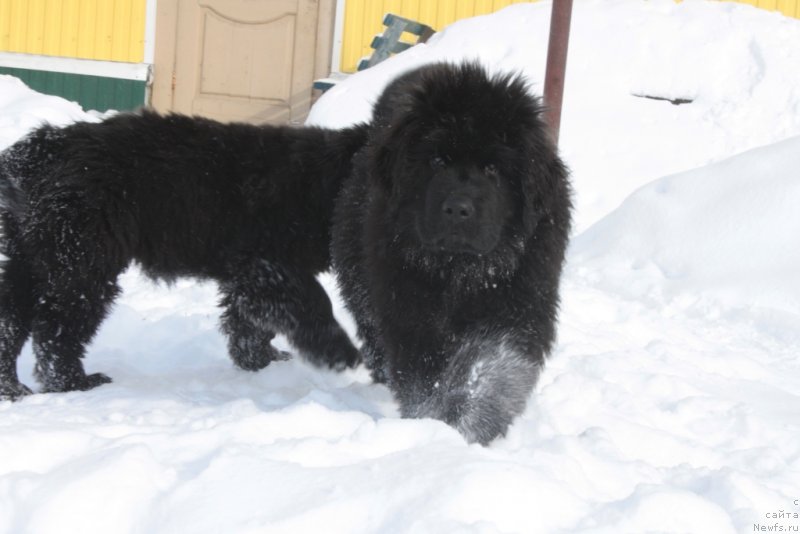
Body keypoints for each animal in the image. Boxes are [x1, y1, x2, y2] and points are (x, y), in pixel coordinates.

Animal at [0, 111, 366, 400]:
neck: (325, 183)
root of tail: (46, 146)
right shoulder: (269, 264)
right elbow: (310, 301)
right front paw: (341, 354)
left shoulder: (249, 276)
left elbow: (248, 321)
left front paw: (260, 361)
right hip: (81, 260)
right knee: (57, 326)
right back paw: (75, 383)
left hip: (32, 258)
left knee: (12, 318)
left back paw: (13, 388)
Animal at [332, 61, 576, 448]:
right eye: (437, 160)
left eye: (493, 168)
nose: (459, 209)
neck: (462, 272)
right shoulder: (411, 312)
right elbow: (425, 377)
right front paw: (435, 424)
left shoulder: (519, 303)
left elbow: (492, 370)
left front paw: (469, 427)